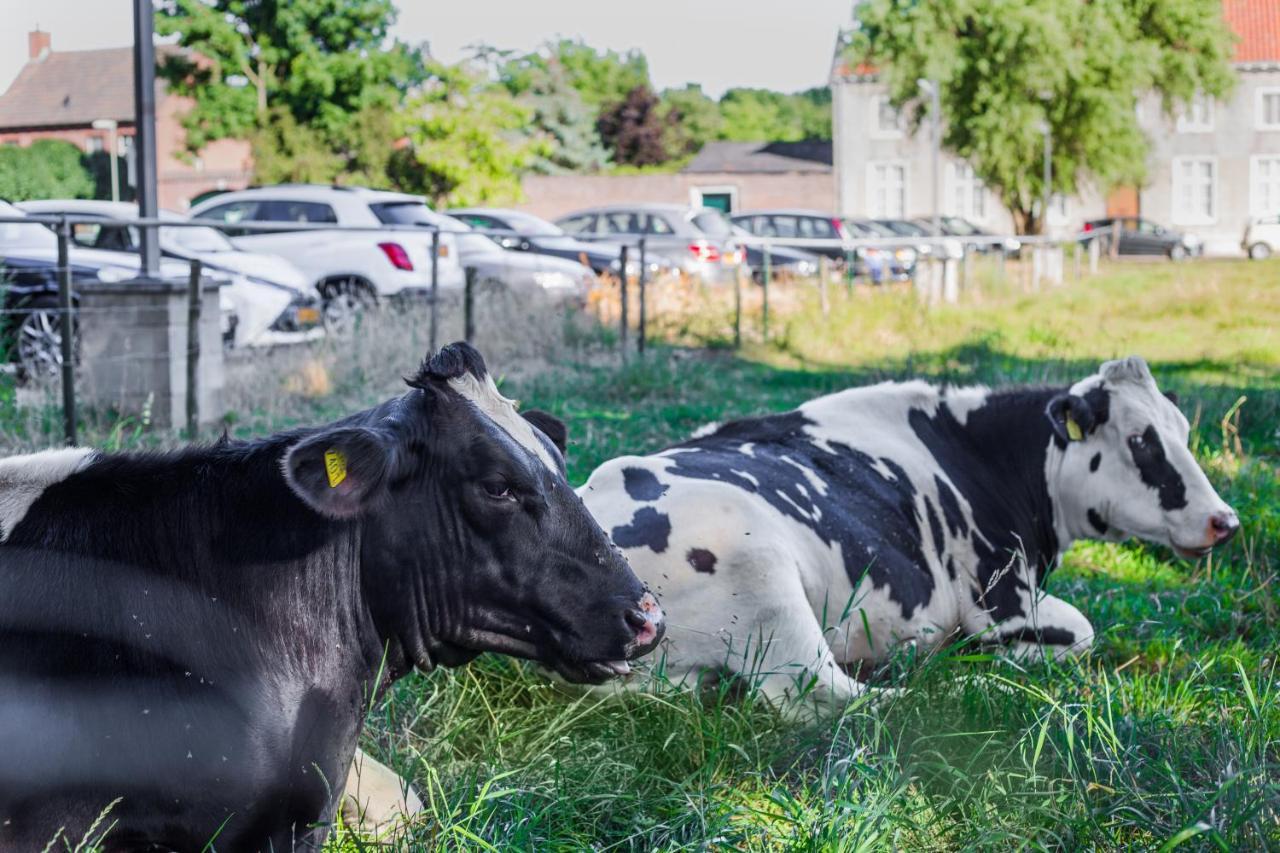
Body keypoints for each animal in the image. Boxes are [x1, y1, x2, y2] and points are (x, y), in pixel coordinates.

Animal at [586, 356, 1233, 706]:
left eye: (1183, 431)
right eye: (1141, 440)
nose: (1225, 521)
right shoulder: (1002, 601)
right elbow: (1082, 632)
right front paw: (995, 660)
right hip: (764, 578)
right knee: (835, 697)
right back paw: (962, 686)